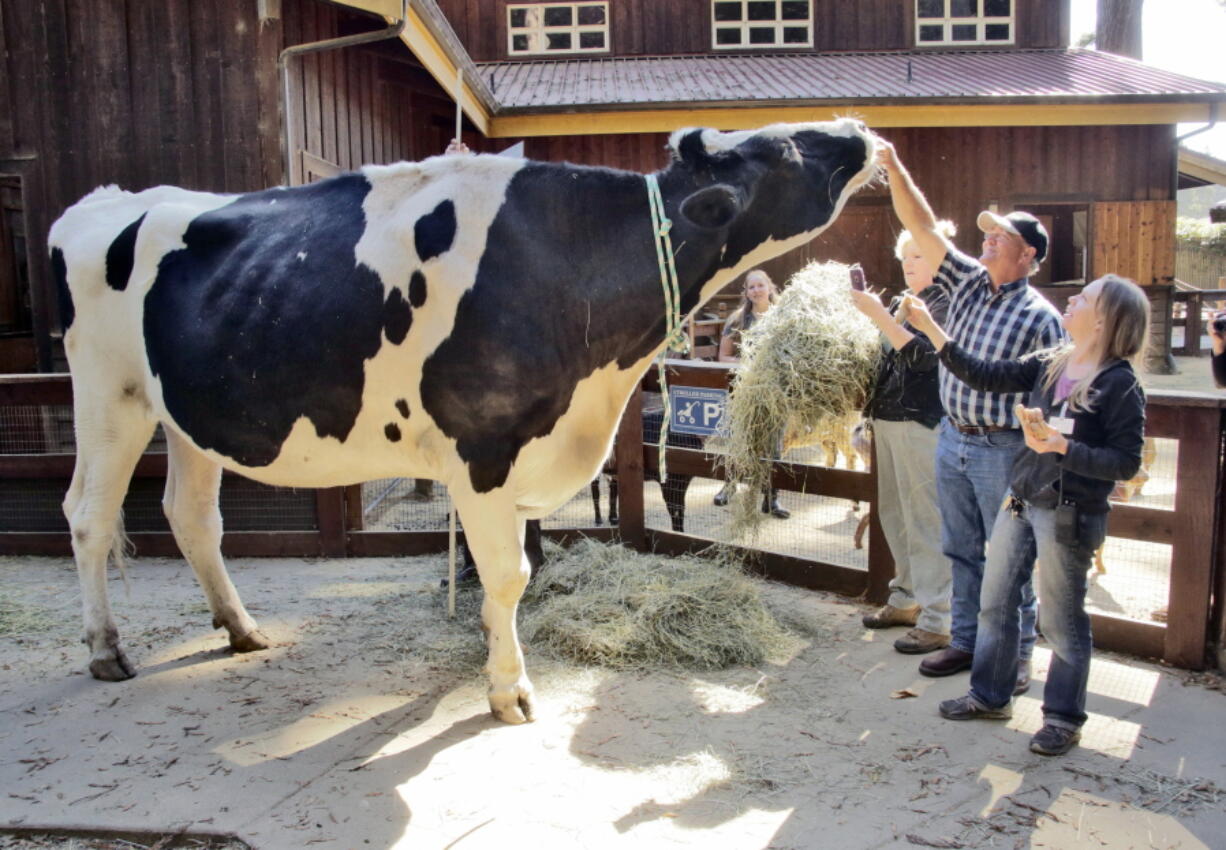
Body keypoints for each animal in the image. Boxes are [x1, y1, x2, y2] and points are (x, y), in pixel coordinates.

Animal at [45, 119, 872, 721]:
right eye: (784, 149)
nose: (858, 130)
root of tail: (101, 203)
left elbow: (519, 565)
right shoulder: (484, 447)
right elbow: (509, 574)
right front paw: (509, 689)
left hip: (185, 410)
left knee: (190, 515)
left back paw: (241, 628)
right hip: (109, 391)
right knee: (87, 514)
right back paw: (105, 650)